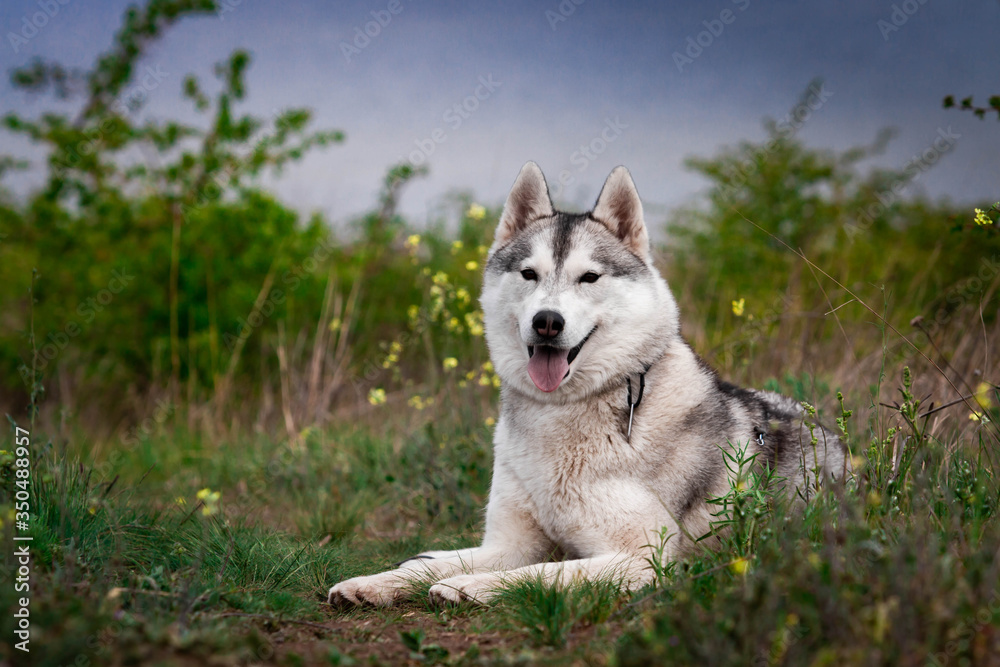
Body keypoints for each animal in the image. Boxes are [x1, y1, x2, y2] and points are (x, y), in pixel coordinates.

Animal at [332, 160, 848, 604]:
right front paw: (371, 583)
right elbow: (432, 565)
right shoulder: (509, 542)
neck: (561, 412)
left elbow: (536, 574)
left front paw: (469, 586)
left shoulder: (642, 558)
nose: (547, 322)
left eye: (589, 277)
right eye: (529, 274)